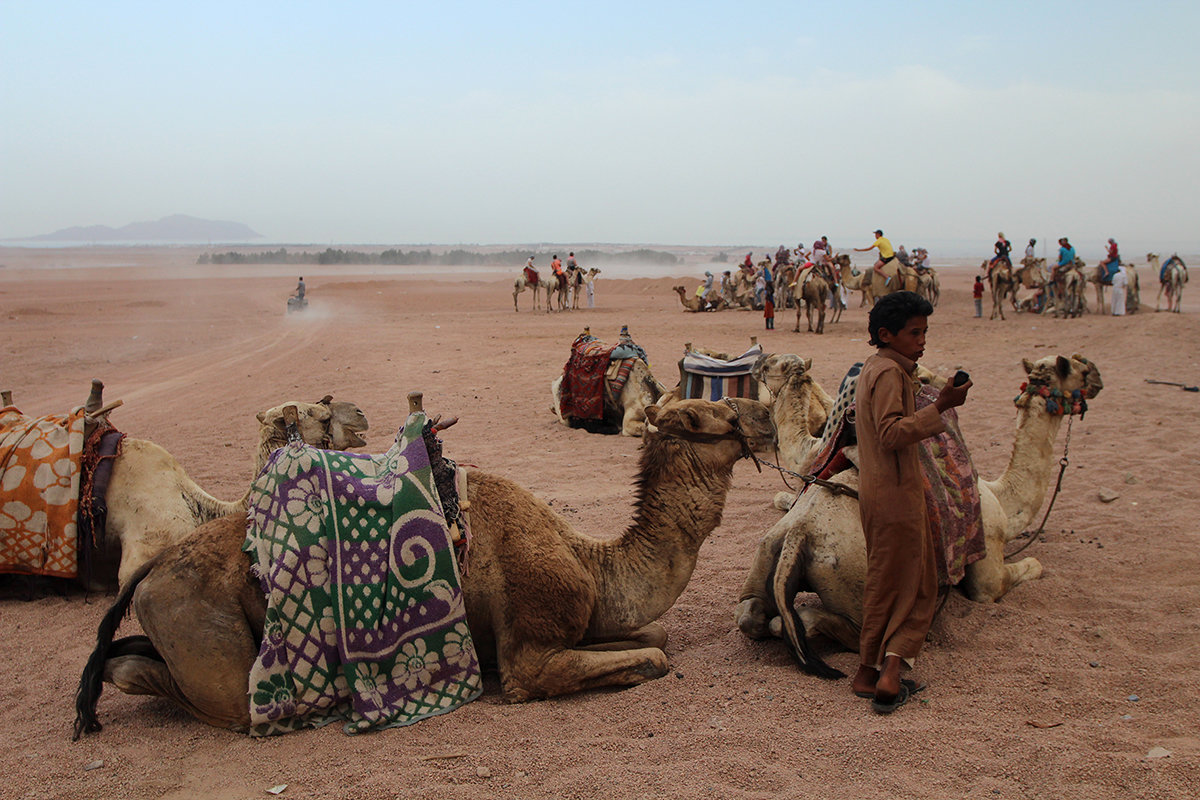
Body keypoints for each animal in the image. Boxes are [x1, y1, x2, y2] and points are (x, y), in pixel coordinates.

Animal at [77, 398, 777, 734]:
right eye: (711, 414)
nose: (767, 418)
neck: (590, 559)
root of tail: (150, 573)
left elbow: (654, 634)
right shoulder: (531, 652)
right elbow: (653, 656)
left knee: (127, 659)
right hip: (212, 649)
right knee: (203, 692)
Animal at [729, 357, 1104, 676]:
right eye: (1076, 369)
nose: (1098, 378)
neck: (1000, 495)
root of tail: (800, 535)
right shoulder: (988, 559)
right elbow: (1021, 572)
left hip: (768, 552)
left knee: (753, 615)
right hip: (860, 591)